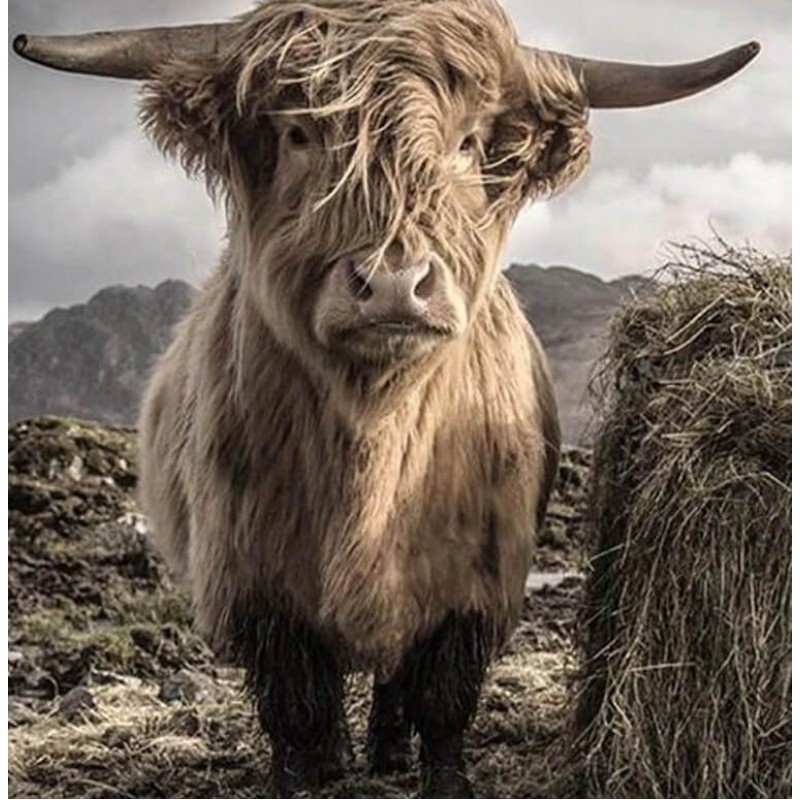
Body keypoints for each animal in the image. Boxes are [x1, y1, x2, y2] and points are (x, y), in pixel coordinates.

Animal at [14, 2, 758, 796]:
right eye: (299, 131)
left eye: (468, 141)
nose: (396, 283)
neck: (373, 435)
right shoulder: (254, 582)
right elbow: (296, 704)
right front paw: (304, 777)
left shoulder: (473, 581)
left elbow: (442, 697)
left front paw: (443, 779)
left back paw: (389, 750)